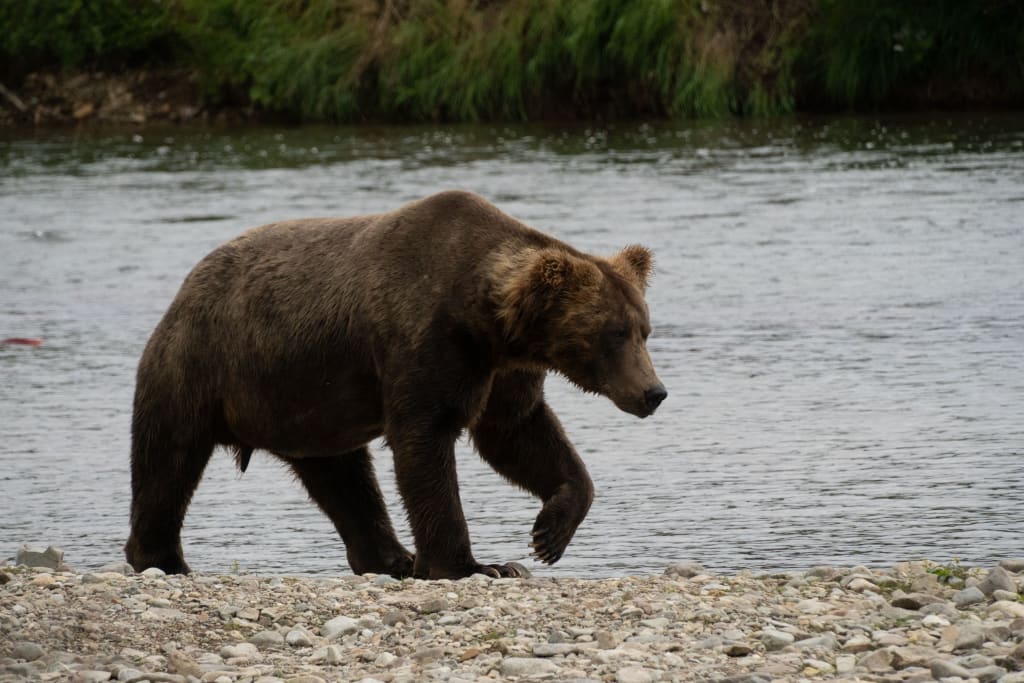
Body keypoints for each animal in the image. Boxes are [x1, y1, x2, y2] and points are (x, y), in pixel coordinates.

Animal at [124, 190, 666, 580]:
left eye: (643, 329)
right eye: (614, 333)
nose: (653, 392)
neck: (488, 321)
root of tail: (187, 286)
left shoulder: (502, 369)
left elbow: (519, 433)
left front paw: (548, 534)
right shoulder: (428, 341)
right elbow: (425, 443)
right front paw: (473, 565)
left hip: (308, 405)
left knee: (345, 480)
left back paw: (391, 558)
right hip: (203, 364)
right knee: (168, 459)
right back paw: (159, 557)